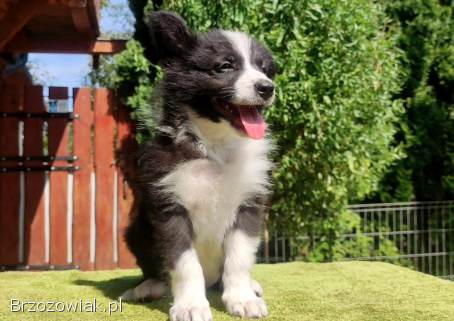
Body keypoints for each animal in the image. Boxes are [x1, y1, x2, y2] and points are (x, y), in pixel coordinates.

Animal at [121, 10, 276, 320]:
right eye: (224, 66)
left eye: (265, 69)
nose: (267, 88)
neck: (216, 147)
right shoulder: (170, 207)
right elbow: (184, 263)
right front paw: (191, 305)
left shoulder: (249, 205)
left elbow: (239, 257)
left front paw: (242, 298)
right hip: (136, 230)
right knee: (153, 269)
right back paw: (147, 287)